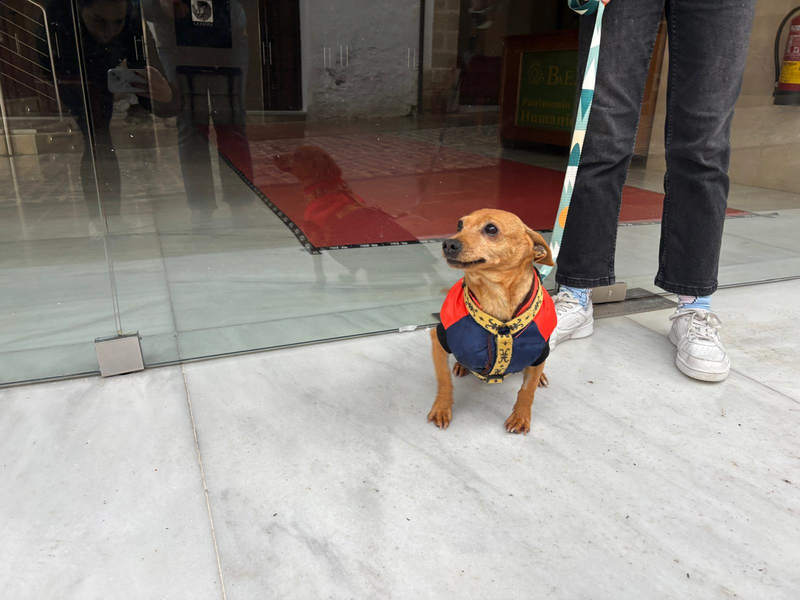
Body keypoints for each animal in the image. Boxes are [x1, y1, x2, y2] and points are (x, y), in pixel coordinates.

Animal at [428, 208, 556, 434]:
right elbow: (444, 381)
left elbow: (527, 390)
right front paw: (442, 408)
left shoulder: (541, 351)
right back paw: (461, 365)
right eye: (459, 225)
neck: (495, 298)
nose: (448, 244)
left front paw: (521, 416)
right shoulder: (438, 338)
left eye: (491, 229)